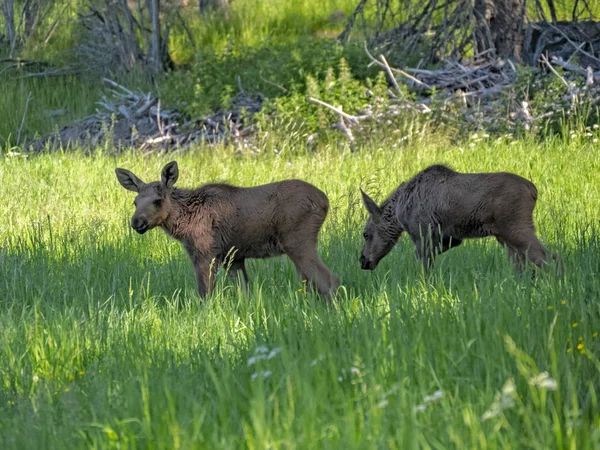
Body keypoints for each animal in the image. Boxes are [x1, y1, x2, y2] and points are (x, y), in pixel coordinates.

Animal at [112, 162, 338, 298]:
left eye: (158, 200)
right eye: (135, 202)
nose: (137, 222)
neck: (183, 222)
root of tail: (324, 201)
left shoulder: (205, 252)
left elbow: (205, 293)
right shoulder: (234, 258)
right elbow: (244, 292)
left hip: (298, 241)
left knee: (329, 280)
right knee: (312, 283)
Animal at [358, 163, 560, 272]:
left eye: (366, 234)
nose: (362, 260)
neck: (400, 212)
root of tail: (533, 190)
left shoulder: (422, 234)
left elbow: (424, 266)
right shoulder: (451, 237)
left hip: (515, 227)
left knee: (546, 256)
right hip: (504, 236)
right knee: (524, 264)